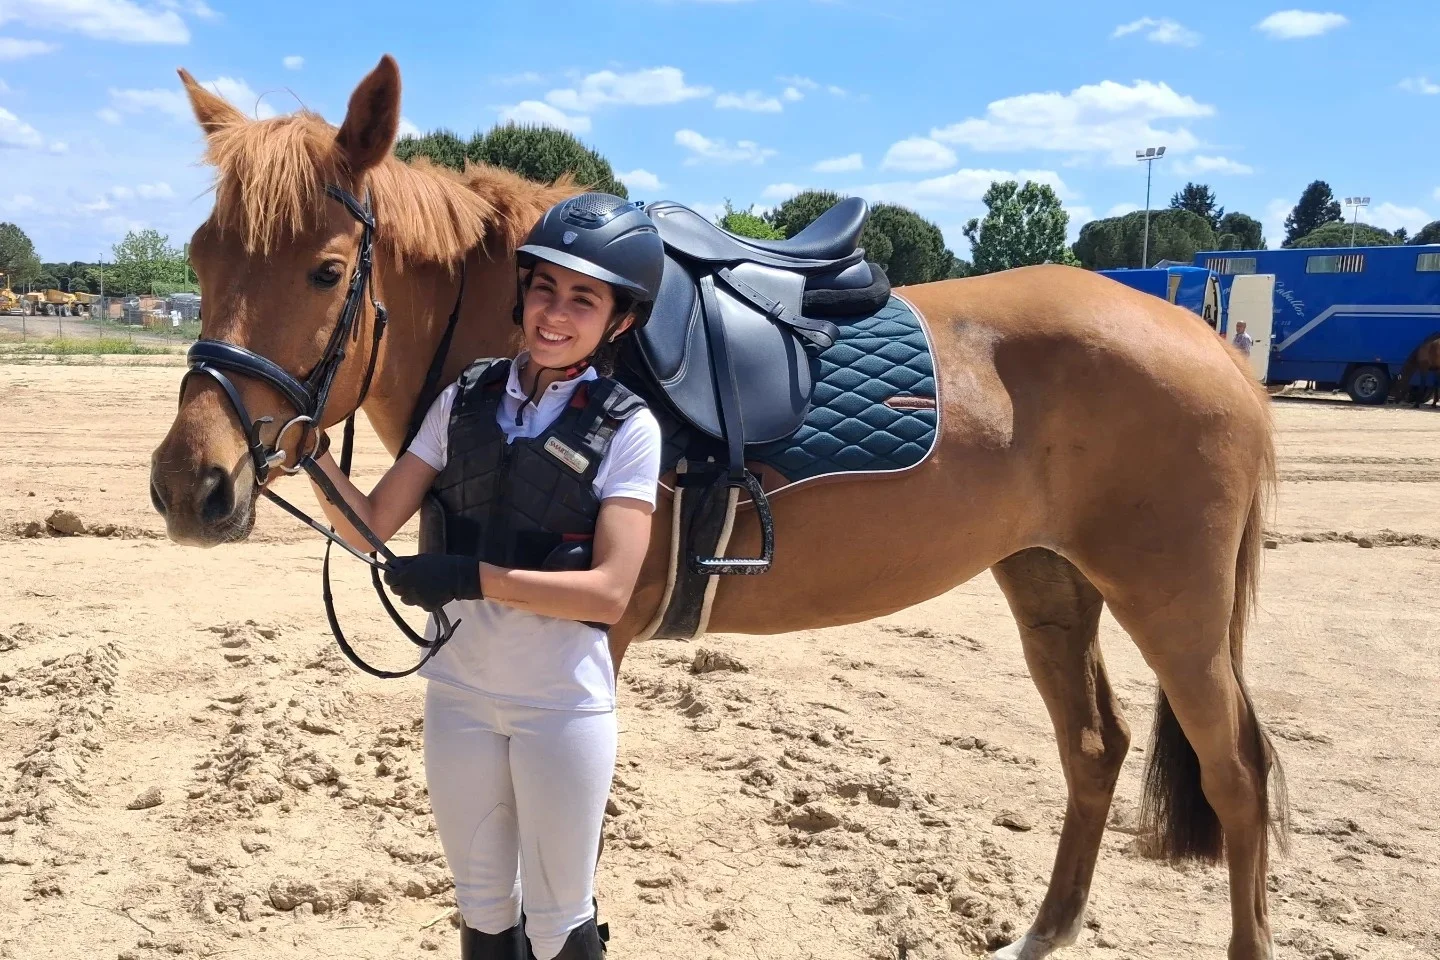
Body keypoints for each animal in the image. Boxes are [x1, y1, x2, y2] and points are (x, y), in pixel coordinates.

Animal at [148, 56, 1286, 960]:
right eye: (200, 259)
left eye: (326, 270)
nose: (188, 485)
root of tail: (1211, 342)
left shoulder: (601, 629)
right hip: (1049, 578)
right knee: (1094, 748)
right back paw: (1042, 933)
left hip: (1173, 603)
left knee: (1237, 777)